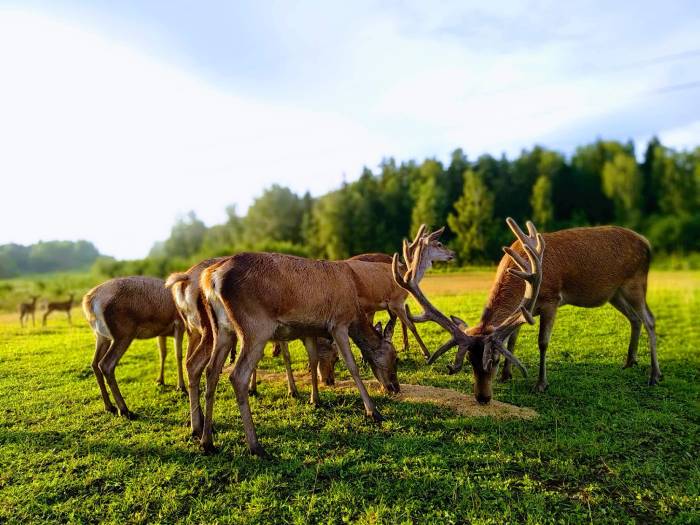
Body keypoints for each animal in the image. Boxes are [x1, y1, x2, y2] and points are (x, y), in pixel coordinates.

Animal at [81, 276, 185, 420]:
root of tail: (89, 301)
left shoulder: (161, 332)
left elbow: (162, 353)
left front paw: (160, 380)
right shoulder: (180, 324)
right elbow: (179, 355)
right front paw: (181, 387)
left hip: (101, 336)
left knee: (94, 363)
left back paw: (110, 407)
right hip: (124, 334)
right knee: (106, 364)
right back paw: (125, 410)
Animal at [197, 253, 400, 454]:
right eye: (395, 358)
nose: (395, 388)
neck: (355, 308)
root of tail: (211, 278)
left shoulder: (309, 331)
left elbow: (313, 359)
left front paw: (315, 400)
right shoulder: (339, 323)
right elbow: (352, 367)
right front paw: (373, 412)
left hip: (223, 330)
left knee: (211, 371)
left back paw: (207, 441)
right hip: (255, 328)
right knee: (237, 376)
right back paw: (255, 446)